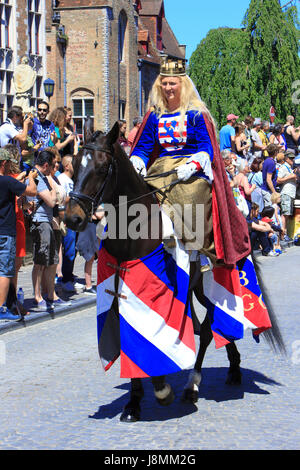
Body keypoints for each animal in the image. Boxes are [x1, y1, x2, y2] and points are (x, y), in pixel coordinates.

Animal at [64, 117, 284, 422]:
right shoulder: (118, 293)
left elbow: (158, 335)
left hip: (209, 284)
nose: (72, 218)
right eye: (73, 164)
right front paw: (133, 402)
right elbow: (129, 336)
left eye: (102, 167)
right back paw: (234, 368)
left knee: (207, 330)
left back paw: (193, 384)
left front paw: (161, 388)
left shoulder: (160, 292)